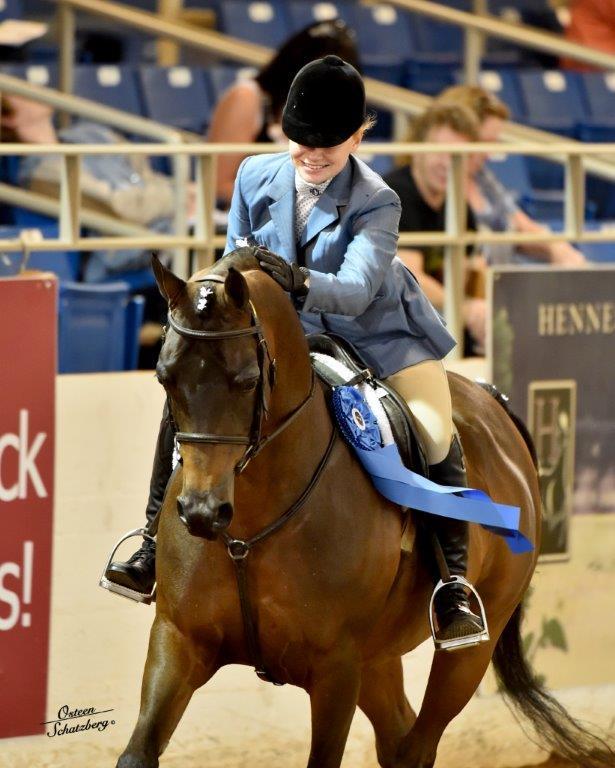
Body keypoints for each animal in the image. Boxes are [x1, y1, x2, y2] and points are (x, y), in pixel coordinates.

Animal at [116, 248, 613, 768]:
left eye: (248, 380)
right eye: (164, 377)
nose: (201, 513)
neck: (250, 527)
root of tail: (492, 403)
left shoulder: (337, 670)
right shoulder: (178, 640)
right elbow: (136, 753)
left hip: (471, 645)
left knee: (419, 742)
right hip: (378, 658)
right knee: (398, 736)